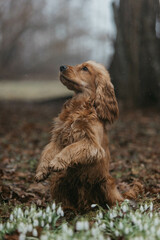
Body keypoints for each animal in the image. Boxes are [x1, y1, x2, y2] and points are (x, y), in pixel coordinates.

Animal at [35, 61, 142, 213]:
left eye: (85, 68)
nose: (62, 67)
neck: (79, 105)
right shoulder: (58, 138)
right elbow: (47, 151)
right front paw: (41, 171)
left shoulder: (92, 144)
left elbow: (71, 148)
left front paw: (57, 162)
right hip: (59, 180)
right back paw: (66, 209)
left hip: (105, 184)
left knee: (115, 201)